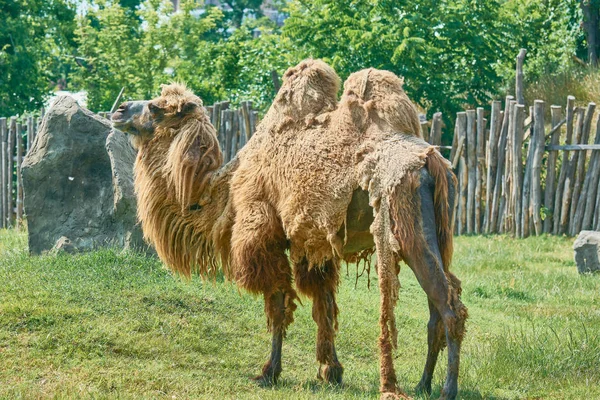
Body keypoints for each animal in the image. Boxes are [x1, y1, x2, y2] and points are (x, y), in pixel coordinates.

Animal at [112, 59, 468, 400]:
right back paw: (423, 385)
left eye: (156, 107)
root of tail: (433, 161)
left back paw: (447, 390)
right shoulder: (313, 247)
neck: (223, 191)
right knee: (438, 306)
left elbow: (279, 305)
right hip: (437, 235)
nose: (119, 110)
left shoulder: (265, 238)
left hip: (407, 226)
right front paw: (330, 372)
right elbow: (324, 305)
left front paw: (269, 372)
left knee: (449, 306)